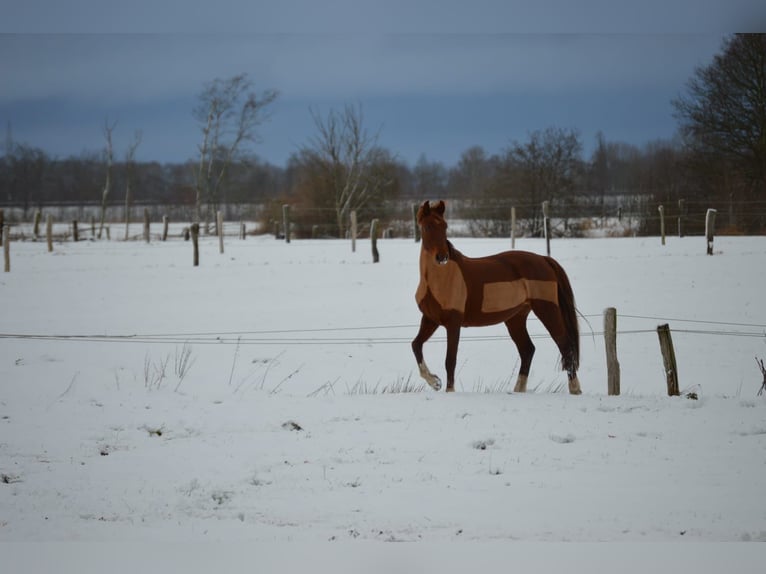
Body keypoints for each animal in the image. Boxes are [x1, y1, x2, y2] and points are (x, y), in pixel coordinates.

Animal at [412, 200, 582, 394]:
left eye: (445, 226)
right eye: (427, 226)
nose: (442, 257)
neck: (440, 279)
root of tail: (544, 259)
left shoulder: (453, 323)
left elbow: (450, 360)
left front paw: (449, 391)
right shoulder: (430, 319)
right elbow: (416, 345)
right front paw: (435, 382)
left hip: (547, 309)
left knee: (565, 346)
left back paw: (575, 389)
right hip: (516, 318)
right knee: (528, 350)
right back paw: (518, 390)